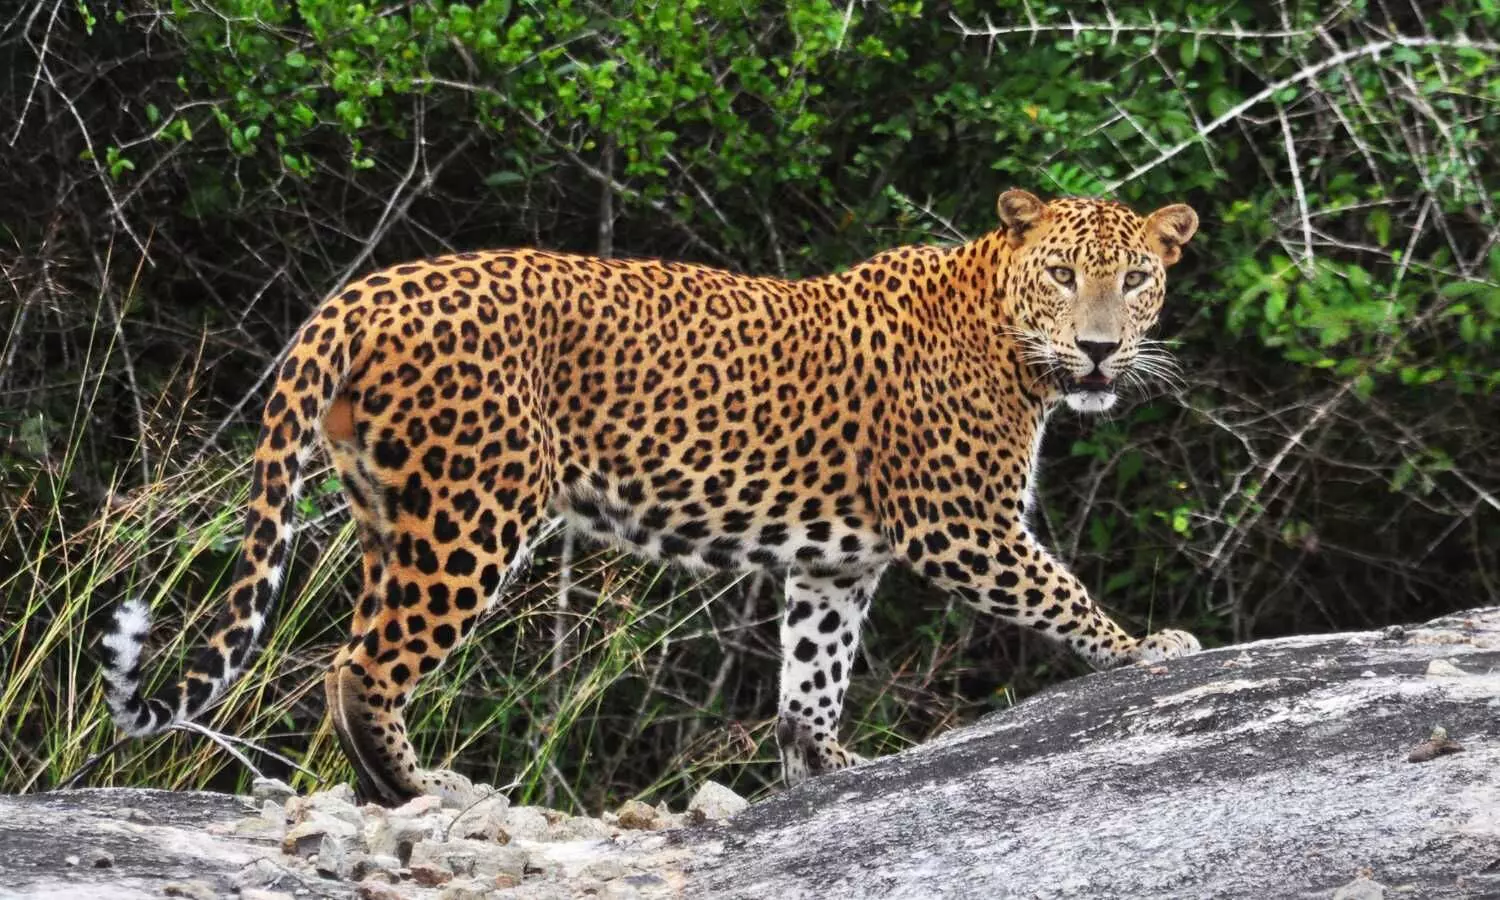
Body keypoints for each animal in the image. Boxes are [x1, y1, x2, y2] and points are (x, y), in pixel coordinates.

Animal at [99, 186, 1206, 804]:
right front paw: (1148, 648)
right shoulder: (962, 524)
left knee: (355, 651)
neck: (1013, 342)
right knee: (363, 665)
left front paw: (825, 770)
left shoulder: (835, 564)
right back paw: (421, 789)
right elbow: (1061, 591)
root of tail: (364, 290)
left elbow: (810, 676)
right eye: (1062, 275)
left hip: (391, 514)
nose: (1099, 348)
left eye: (1137, 278)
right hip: (472, 512)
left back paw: (391, 792)